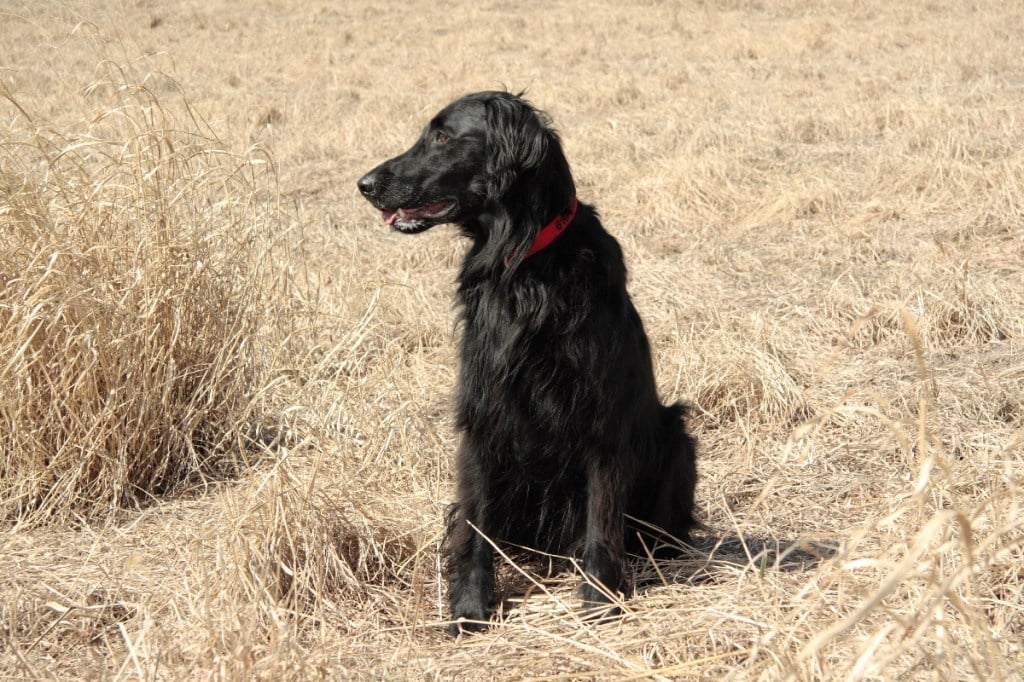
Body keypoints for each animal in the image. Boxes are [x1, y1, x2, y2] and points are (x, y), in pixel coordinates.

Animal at [356, 90, 700, 630]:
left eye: (443, 136)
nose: (364, 185)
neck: (523, 263)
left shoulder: (602, 418)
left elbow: (602, 519)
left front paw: (601, 601)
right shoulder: (483, 412)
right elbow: (475, 526)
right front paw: (470, 608)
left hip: (676, 434)